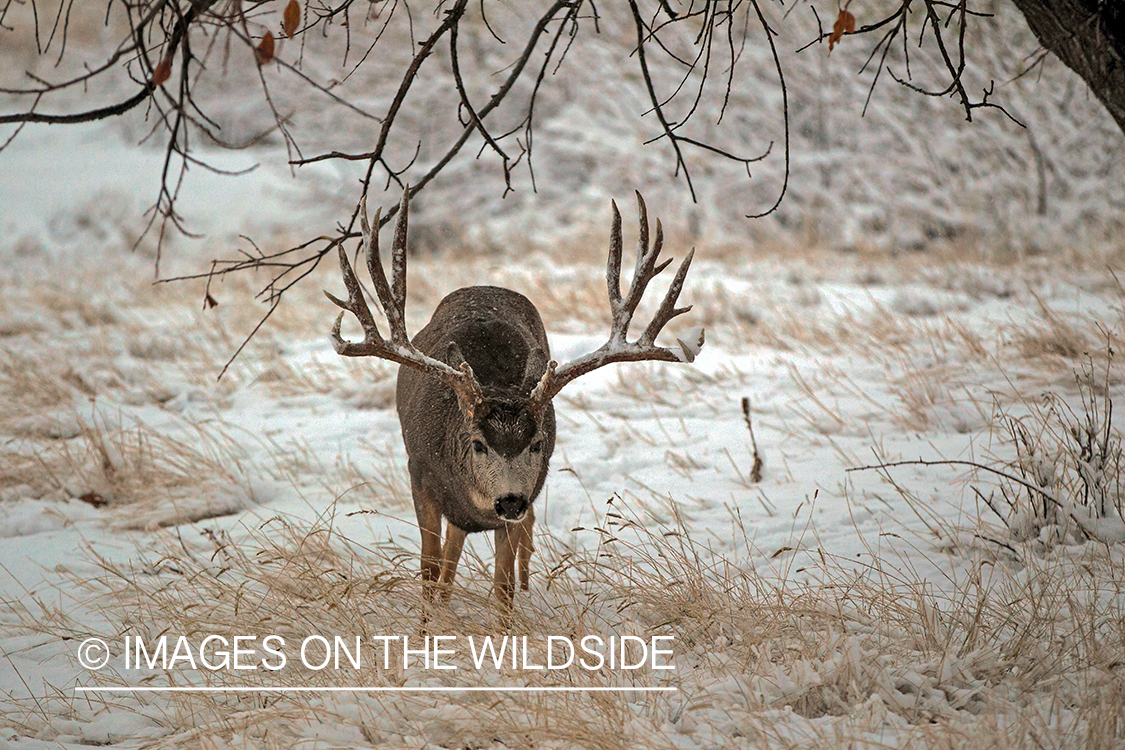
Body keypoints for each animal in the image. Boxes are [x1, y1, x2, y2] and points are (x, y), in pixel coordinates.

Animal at [326, 186, 702, 616]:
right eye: (477, 443)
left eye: (537, 442)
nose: (508, 501)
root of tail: (485, 284)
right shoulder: (418, 474)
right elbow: (428, 569)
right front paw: (426, 624)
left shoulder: (524, 498)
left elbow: (502, 585)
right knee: (449, 556)